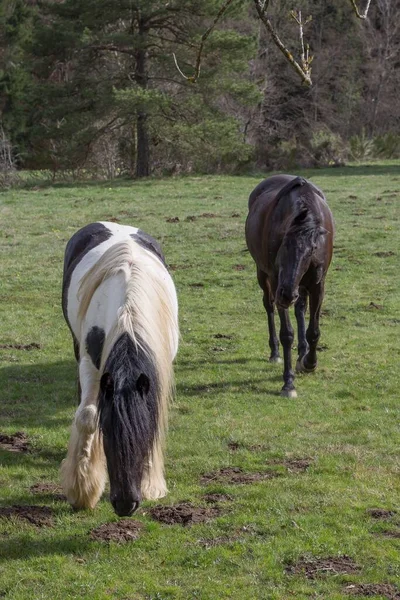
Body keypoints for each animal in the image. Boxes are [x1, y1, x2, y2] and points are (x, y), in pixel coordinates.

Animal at [60, 220, 178, 516]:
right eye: (108, 436)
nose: (126, 505)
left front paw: (150, 483)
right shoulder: (91, 365)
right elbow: (88, 416)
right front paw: (82, 489)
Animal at [244, 175, 334, 398]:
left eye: (312, 250)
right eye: (282, 244)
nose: (286, 295)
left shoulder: (318, 285)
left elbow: (314, 331)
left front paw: (309, 363)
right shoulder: (277, 282)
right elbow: (287, 333)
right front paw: (288, 383)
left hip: (300, 286)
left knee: (300, 307)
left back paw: (302, 352)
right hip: (264, 276)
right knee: (269, 306)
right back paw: (274, 352)